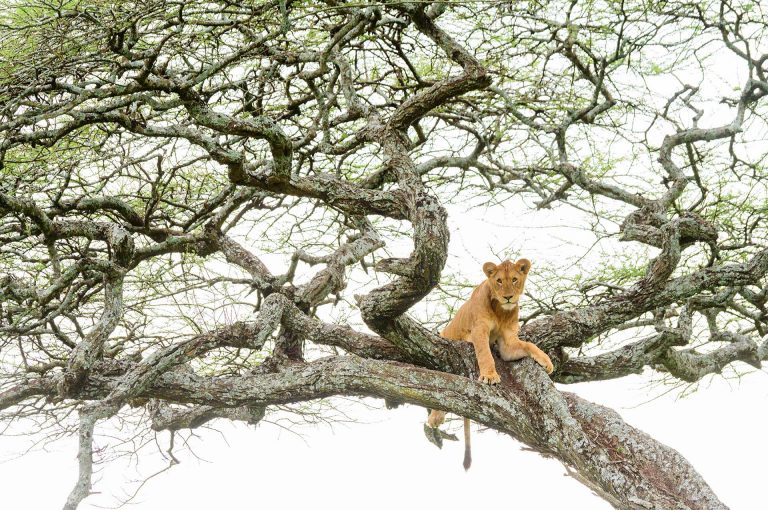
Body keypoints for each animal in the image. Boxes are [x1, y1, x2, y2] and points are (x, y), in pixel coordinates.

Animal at [426, 258, 552, 470]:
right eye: (499, 281)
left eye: (515, 279)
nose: (508, 297)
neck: (502, 310)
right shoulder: (479, 329)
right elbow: (485, 354)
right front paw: (490, 376)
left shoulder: (508, 342)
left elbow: (528, 345)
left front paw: (546, 362)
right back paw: (435, 417)